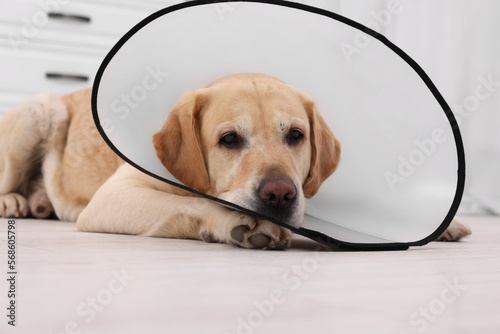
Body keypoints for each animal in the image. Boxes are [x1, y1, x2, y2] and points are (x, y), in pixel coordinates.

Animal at [0, 74, 468, 249]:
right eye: (229, 139)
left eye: (295, 135)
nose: (279, 194)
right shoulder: (112, 198)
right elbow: (187, 201)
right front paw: (234, 222)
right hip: (41, 110)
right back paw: (17, 201)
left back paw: (38, 202)